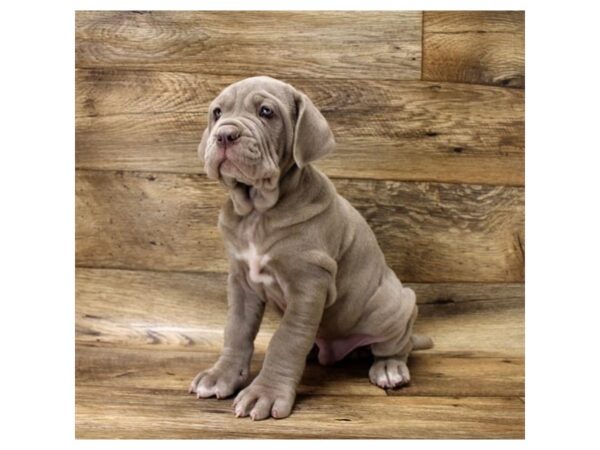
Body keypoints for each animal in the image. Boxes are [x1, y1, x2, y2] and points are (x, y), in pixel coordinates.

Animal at [190, 76, 434, 418]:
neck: (258, 211)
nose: (225, 134)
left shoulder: (309, 283)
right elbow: (236, 330)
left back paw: (389, 367)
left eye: (266, 112)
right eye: (217, 112)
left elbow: (286, 339)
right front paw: (221, 376)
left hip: (394, 304)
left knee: (398, 344)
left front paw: (265, 393)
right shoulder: (241, 281)